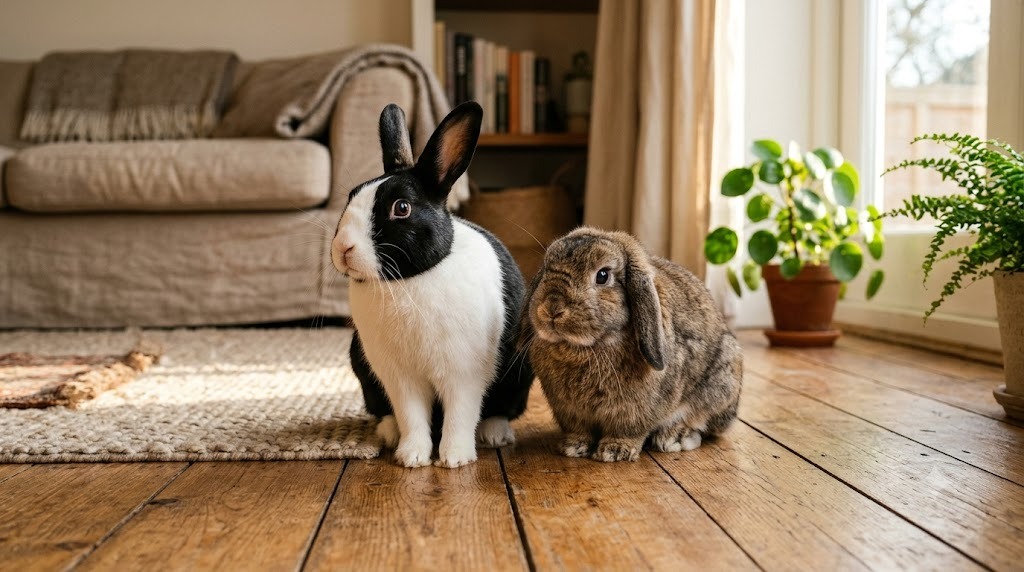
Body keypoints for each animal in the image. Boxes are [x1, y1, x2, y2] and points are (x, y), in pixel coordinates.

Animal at [331, 101, 533, 469]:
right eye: (351, 197)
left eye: (401, 208)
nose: (343, 248)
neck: (409, 281)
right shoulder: (400, 379)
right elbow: (412, 415)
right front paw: (411, 457)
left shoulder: (464, 374)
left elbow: (460, 415)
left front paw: (454, 458)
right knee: (387, 412)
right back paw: (389, 433)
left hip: (519, 372)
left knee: (498, 410)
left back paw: (495, 434)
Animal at [518, 227, 742, 462]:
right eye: (546, 269)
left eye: (603, 275)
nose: (552, 308)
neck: (587, 347)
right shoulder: (569, 413)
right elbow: (578, 430)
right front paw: (572, 447)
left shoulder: (635, 412)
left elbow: (628, 431)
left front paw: (614, 451)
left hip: (719, 388)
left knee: (701, 422)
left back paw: (674, 438)